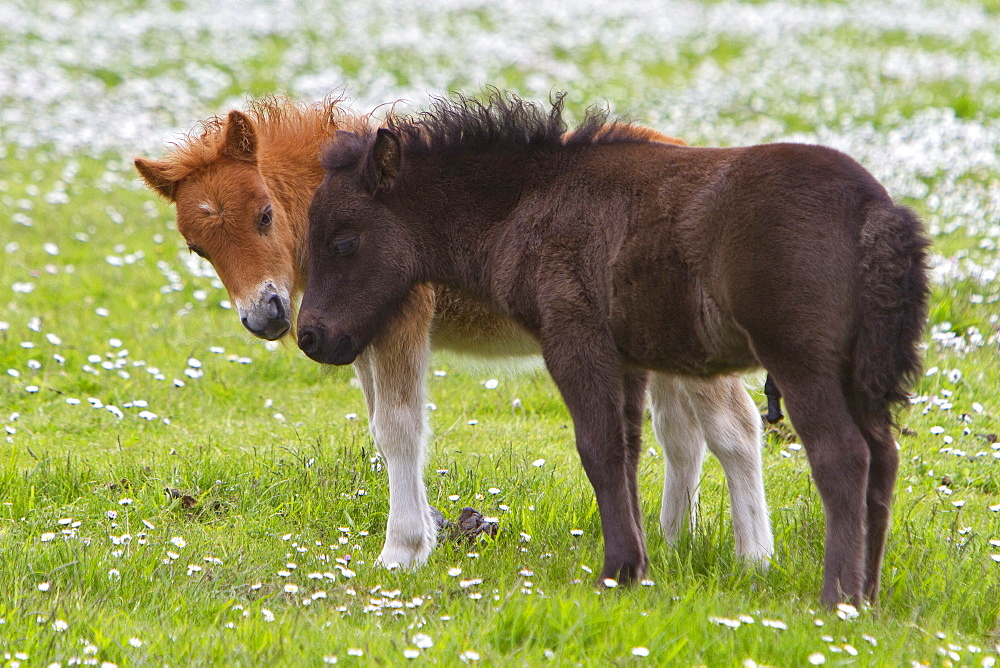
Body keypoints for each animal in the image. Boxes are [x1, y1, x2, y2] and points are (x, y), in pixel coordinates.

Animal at [133, 94, 772, 572]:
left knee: (735, 429)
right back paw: (672, 541)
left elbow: (398, 429)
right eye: (197, 248)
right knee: (681, 436)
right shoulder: (353, 335)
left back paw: (753, 558)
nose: (264, 316)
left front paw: (402, 550)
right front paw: (428, 534)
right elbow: (382, 429)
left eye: (264, 214)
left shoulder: (400, 321)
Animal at [298, 90, 928, 604]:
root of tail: (875, 207)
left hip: (803, 362)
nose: (311, 336)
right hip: (859, 372)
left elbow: (598, 451)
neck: (531, 201)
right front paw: (638, 567)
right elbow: (627, 452)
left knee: (842, 456)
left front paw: (616, 570)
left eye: (344, 241)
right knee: (883, 459)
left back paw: (837, 598)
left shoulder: (574, 339)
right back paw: (868, 594)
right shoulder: (627, 360)